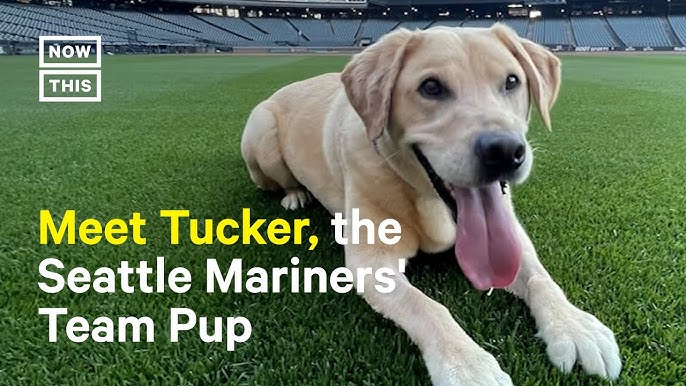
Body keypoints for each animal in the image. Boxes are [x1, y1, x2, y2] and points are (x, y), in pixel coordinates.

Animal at [241, 24, 624, 386]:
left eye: (512, 81)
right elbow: (428, 308)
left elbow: (539, 276)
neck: (429, 201)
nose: (505, 151)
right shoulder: (371, 263)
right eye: (431, 87)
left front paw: (574, 325)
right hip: (262, 137)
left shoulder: (513, 234)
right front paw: (468, 366)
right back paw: (295, 194)